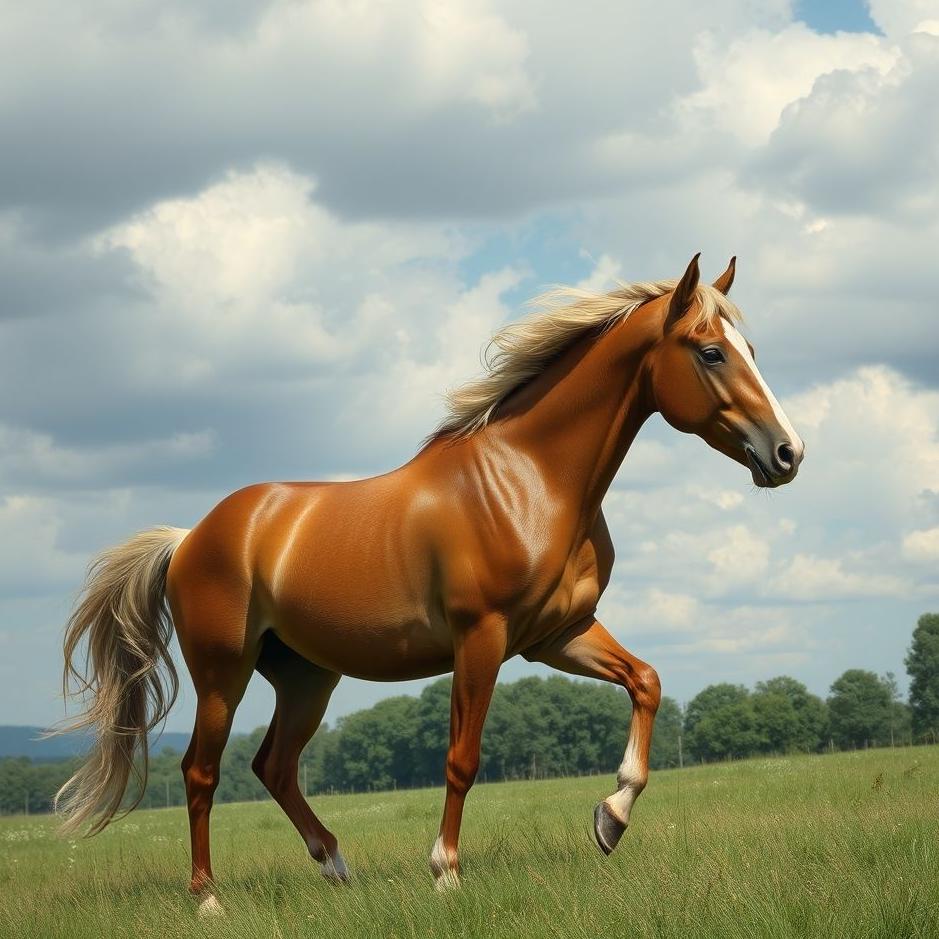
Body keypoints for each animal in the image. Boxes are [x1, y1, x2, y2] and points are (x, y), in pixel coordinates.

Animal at [55, 253, 803, 909]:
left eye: (752, 348)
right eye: (711, 352)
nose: (787, 452)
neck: (527, 480)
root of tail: (188, 538)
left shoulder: (557, 634)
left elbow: (645, 681)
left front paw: (610, 818)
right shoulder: (482, 638)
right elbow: (461, 758)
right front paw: (445, 872)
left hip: (305, 676)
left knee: (274, 765)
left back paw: (335, 864)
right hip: (222, 673)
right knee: (201, 772)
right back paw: (208, 898)